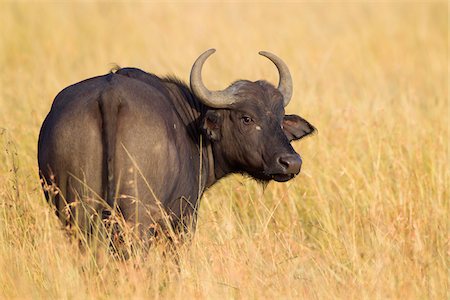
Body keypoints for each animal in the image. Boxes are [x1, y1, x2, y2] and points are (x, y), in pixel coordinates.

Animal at [37, 49, 314, 239]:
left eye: (279, 118)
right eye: (246, 118)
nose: (291, 162)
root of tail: (110, 95)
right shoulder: (183, 218)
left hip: (78, 212)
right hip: (138, 217)